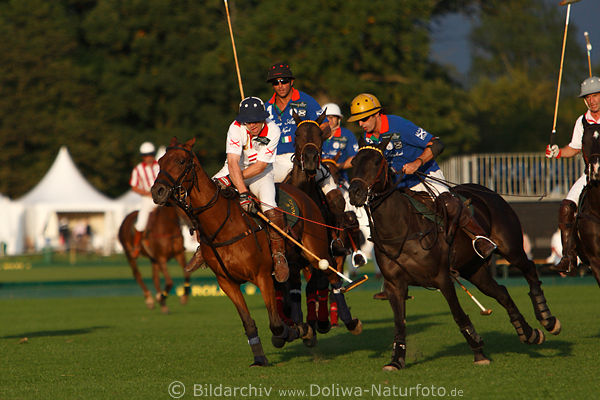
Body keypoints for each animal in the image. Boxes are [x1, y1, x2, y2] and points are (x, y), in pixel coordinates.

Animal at [150, 137, 358, 366]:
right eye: (160, 161)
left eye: (180, 161)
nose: (157, 191)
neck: (223, 225)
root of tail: (302, 194)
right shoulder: (227, 282)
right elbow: (249, 322)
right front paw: (260, 357)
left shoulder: (262, 276)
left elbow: (276, 324)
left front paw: (298, 331)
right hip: (294, 261)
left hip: (316, 251)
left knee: (333, 278)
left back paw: (348, 322)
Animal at [348, 137, 561, 370]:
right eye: (353, 163)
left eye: (377, 162)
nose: (355, 193)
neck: (400, 229)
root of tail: (488, 191)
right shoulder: (395, 285)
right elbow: (399, 323)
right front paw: (396, 360)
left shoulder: (442, 278)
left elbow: (458, 314)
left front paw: (478, 352)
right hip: (474, 269)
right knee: (502, 292)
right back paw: (529, 333)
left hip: (510, 247)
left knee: (529, 269)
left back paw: (547, 319)